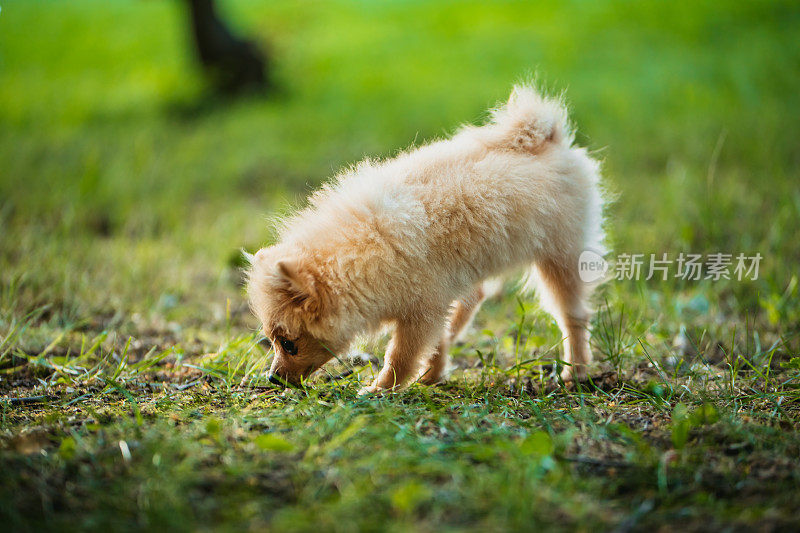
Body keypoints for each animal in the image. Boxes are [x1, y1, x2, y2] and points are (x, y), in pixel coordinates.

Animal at [247, 83, 604, 390]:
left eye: (289, 344)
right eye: (272, 341)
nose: (272, 378)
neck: (361, 248)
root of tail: (547, 137)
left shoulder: (422, 308)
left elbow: (400, 357)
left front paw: (379, 390)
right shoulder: (432, 301)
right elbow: (434, 341)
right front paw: (430, 376)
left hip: (563, 254)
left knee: (574, 316)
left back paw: (576, 372)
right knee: (472, 300)